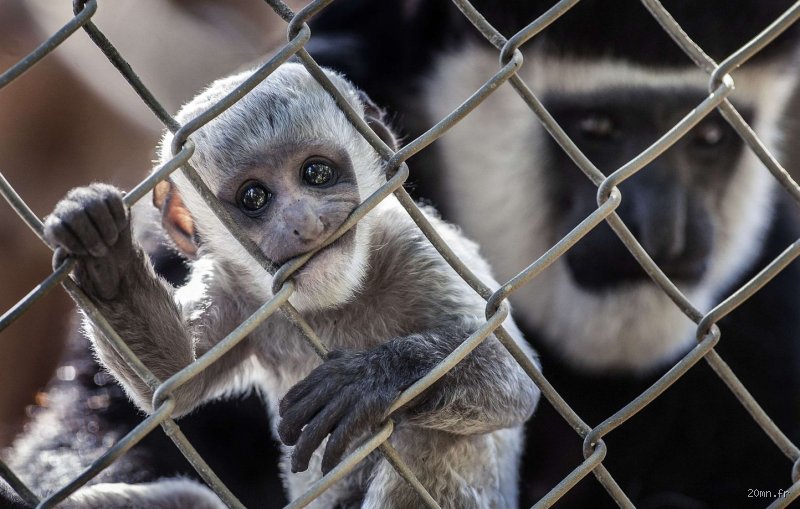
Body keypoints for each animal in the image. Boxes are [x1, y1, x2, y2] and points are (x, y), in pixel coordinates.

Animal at [29, 62, 540, 508]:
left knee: (426, 437)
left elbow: (514, 379)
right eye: (254, 197)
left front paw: (370, 377)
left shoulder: (413, 247)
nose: (304, 222)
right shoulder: (237, 290)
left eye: (317, 173)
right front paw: (103, 253)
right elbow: (175, 377)